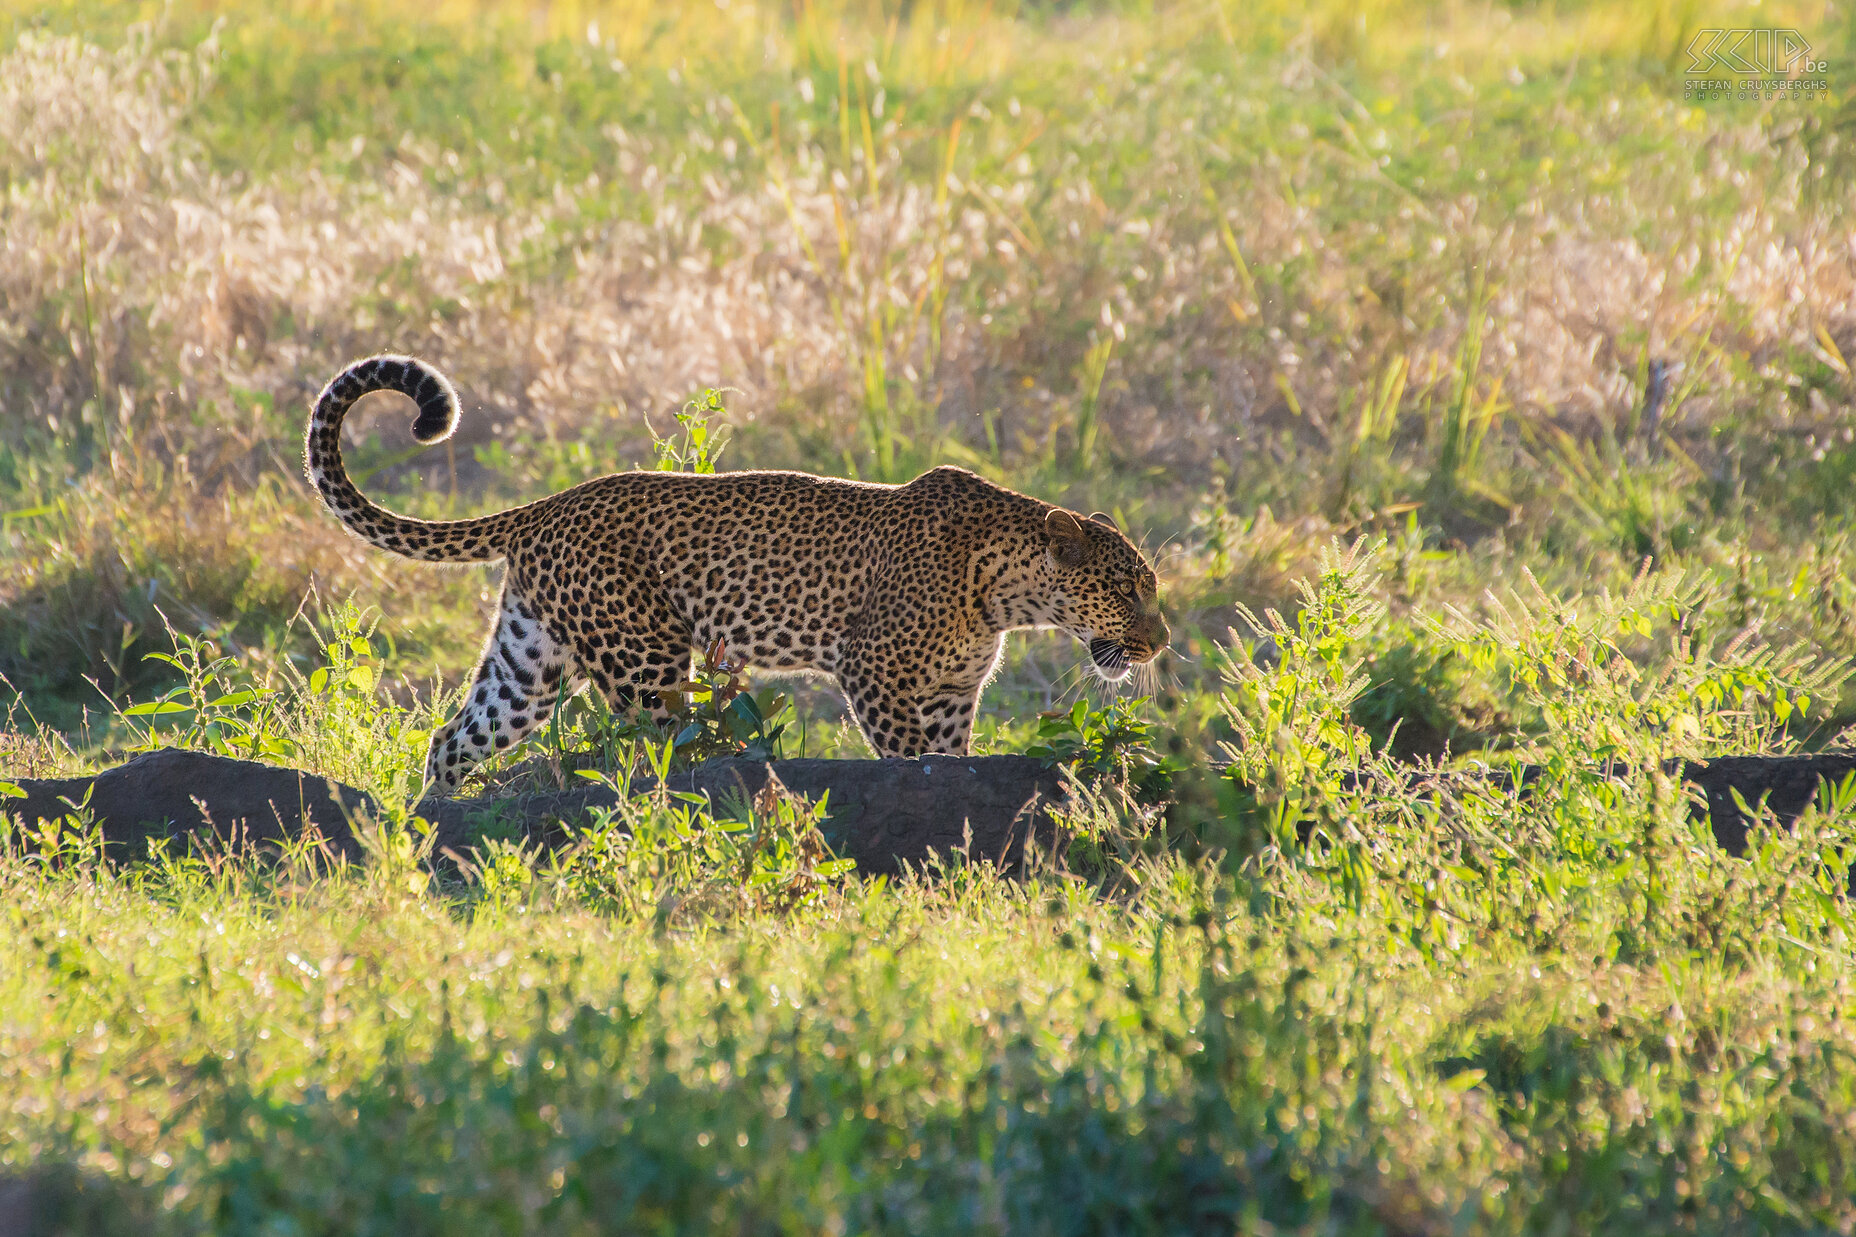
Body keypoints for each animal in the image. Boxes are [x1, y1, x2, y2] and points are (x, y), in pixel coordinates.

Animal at [306, 351, 1172, 791]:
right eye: (1129, 589)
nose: (1161, 643)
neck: (1006, 591)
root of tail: (546, 505)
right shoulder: (874, 672)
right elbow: (905, 761)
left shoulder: (955, 694)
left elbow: (948, 763)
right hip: (645, 660)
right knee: (657, 753)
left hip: (529, 660)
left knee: (452, 737)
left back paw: (432, 834)